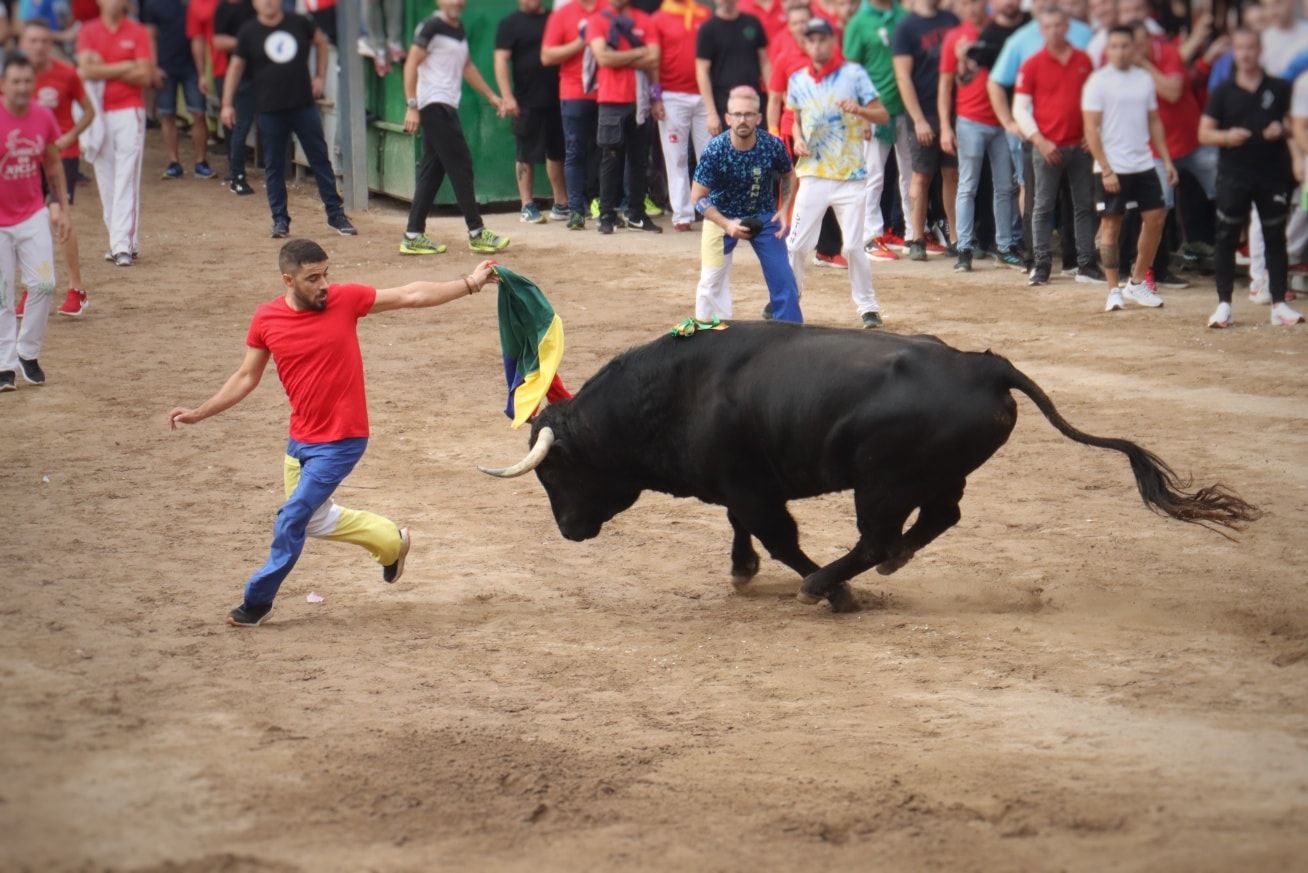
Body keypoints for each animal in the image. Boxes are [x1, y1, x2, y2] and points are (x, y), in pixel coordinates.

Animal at [481, 320, 1255, 615]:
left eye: (555, 473)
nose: (569, 531)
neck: (675, 391)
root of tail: (986, 365)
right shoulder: (741, 487)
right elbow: (744, 532)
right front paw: (742, 572)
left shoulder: (754, 489)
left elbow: (780, 538)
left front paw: (827, 590)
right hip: (934, 476)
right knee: (939, 517)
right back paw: (886, 566)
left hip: (880, 482)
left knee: (878, 534)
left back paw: (835, 582)